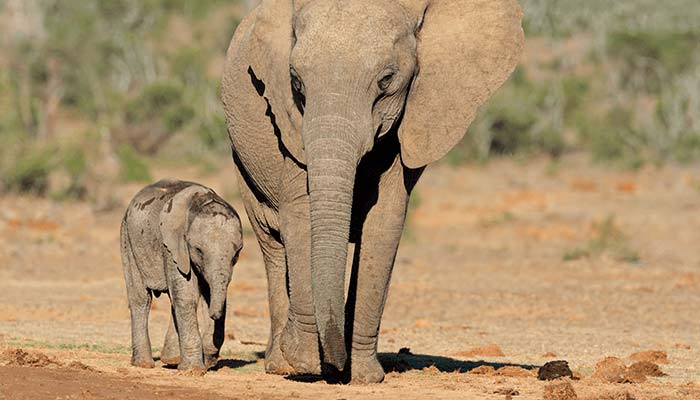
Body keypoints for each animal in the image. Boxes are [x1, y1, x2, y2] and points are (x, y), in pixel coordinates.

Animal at [120, 179, 243, 373]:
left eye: (237, 253)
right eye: (198, 250)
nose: (213, 315)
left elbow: (201, 294)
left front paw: (207, 362)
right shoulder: (172, 246)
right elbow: (188, 295)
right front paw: (193, 371)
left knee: (173, 299)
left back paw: (171, 360)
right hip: (128, 239)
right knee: (141, 299)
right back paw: (144, 364)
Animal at [221, 0, 523, 383]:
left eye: (386, 79)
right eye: (296, 82)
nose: (335, 367)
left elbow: (383, 223)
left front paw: (363, 376)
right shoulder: (289, 122)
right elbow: (302, 211)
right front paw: (305, 364)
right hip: (241, 158)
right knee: (271, 243)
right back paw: (279, 365)